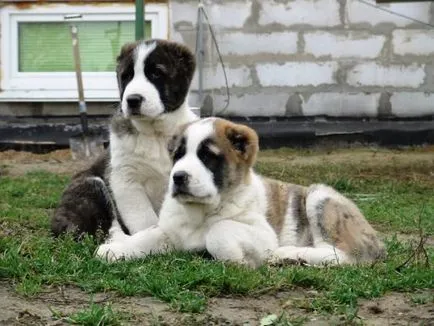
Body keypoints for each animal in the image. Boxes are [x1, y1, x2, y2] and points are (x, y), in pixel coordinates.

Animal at [51, 40, 198, 239]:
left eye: (156, 73)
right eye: (126, 76)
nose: (133, 100)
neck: (156, 134)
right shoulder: (125, 180)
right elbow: (145, 221)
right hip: (90, 184)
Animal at [96, 117, 386, 268]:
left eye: (207, 157)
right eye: (178, 155)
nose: (178, 177)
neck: (201, 212)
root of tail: (377, 240)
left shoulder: (261, 234)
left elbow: (219, 231)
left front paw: (238, 259)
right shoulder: (172, 231)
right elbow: (148, 235)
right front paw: (116, 249)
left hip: (319, 196)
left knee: (342, 255)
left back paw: (289, 254)